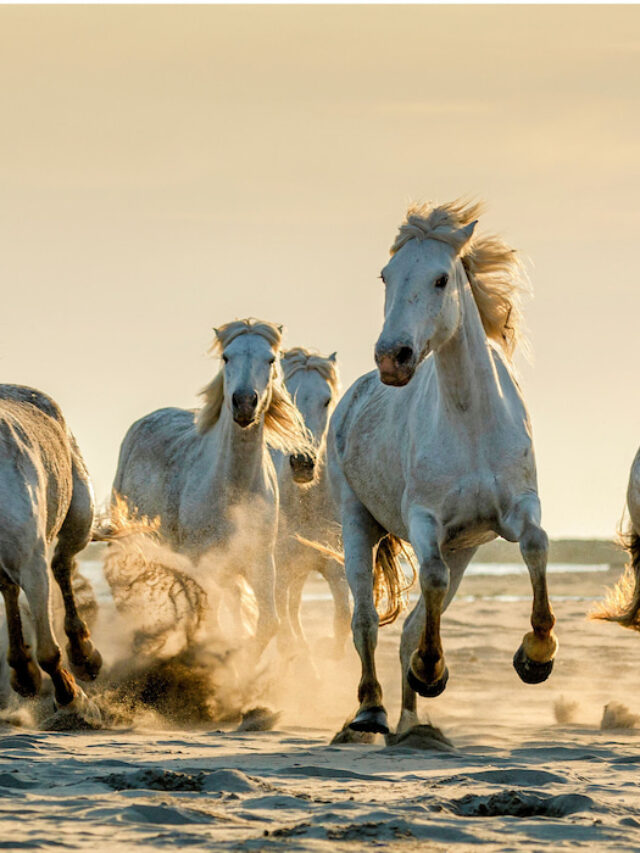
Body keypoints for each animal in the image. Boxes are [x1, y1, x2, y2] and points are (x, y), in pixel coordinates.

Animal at [0, 385, 102, 721]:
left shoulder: (32, 562)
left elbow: (48, 651)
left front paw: (73, 698)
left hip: (79, 519)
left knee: (62, 566)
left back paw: (84, 657)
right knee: (9, 588)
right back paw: (23, 673)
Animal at [111, 319, 311, 656]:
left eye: (271, 360)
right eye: (226, 357)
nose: (244, 403)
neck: (233, 489)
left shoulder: (260, 564)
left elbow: (267, 624)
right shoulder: (203, 565)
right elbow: (212, 626)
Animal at [326, 200, 556, 734]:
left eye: (440, 279)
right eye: (386, 275)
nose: (392, 358)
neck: (470, 419)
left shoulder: (517, 509)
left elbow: (536, 544)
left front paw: (536, 656)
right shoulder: (425, 520)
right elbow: (429, 578)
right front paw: (432, 671)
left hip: (464, 549)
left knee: (411, 624)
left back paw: (413, 725)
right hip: (356, 521)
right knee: (365, 619)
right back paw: (371, 710)